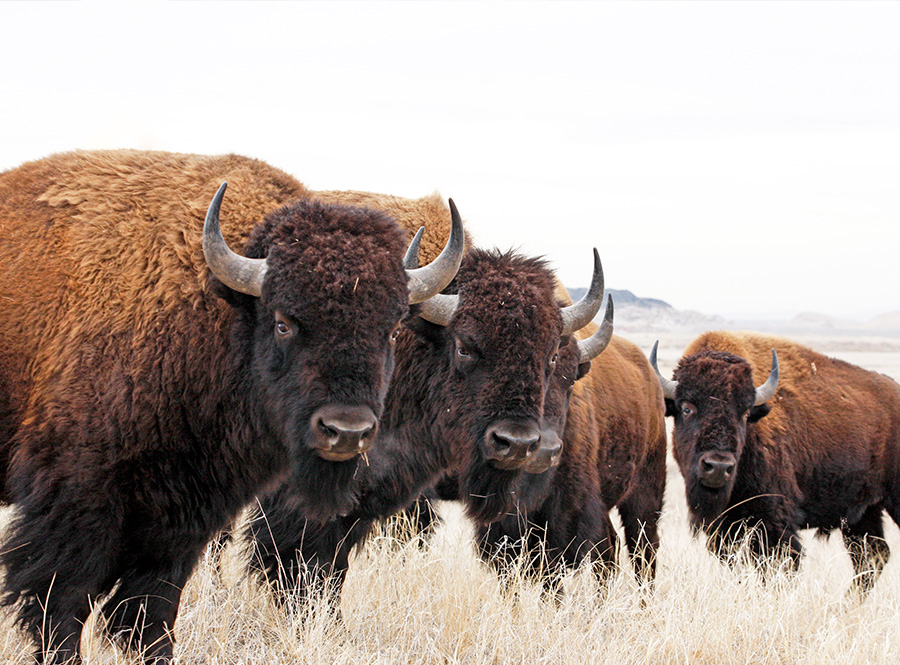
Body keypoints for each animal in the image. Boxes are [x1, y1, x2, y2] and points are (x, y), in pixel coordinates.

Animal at [0, 148, 464, 660]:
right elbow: (62, 600)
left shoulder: (184, 515)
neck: (216, 312)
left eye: (392, 329)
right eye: (283, 322)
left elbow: (151, 607)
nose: (347, 431)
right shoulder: (78, 497)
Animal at [652, 332, 900, 592]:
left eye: (744, 414)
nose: (718, 467)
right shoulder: (725, 528)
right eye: (687, 409)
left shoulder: (775, 523)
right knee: (872, 555)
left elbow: (778, 566)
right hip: (864, 513)